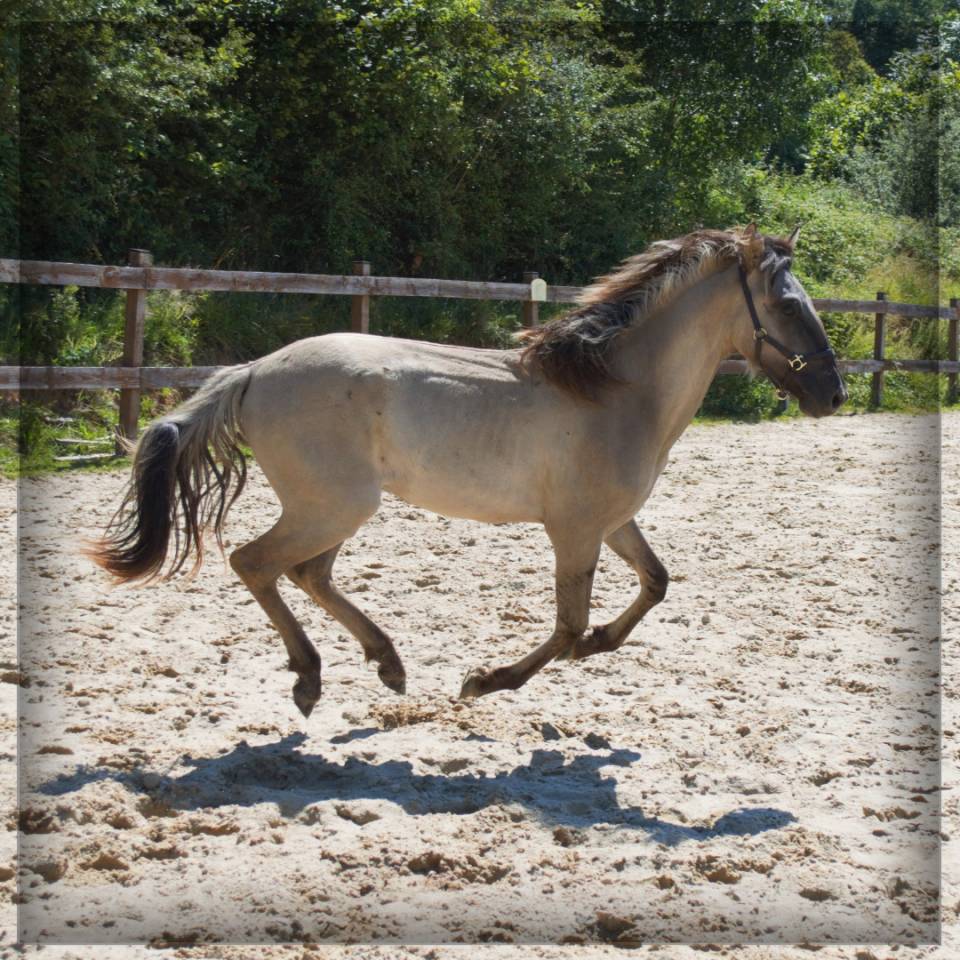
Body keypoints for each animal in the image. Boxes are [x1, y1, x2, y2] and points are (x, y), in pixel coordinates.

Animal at [91, 224, 846, 718]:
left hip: (334, 509)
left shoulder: (611, 521)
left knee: (307, 573)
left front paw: (601, 645)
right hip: (332, 505)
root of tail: (252, 371)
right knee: (256, 562)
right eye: (786, 303)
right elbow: (567, 624)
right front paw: (485, 681)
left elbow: (655, 584)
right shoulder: (573, 529)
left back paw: (387, 664)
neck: (617, 390)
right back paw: (311, 678)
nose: (833, 394)